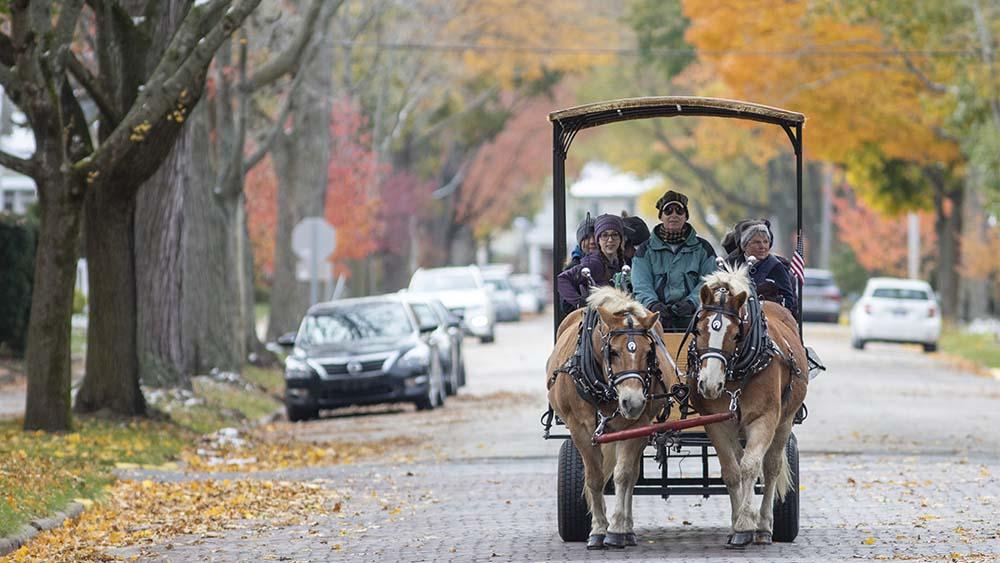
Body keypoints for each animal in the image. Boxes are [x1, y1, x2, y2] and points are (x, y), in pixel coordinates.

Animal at [546, 286, 679, 549]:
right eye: (614, 352)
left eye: (649, 352)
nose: (633, 402)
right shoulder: (580, 430)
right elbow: (594, 478)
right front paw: (598, 530)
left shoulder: (637, 425)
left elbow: (624, 475)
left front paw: (616, 529)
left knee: (629, 476)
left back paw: (626, 529)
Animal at [687, 264, 808, 547]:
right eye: (698, 330)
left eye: (735, 334)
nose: (710, 384)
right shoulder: (717, 423)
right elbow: (732, 471)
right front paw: (737, 523)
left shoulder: (765, 418)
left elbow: (752, 467)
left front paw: (746, 524)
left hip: (785, 421)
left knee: (771, 467)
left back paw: (763, 525)